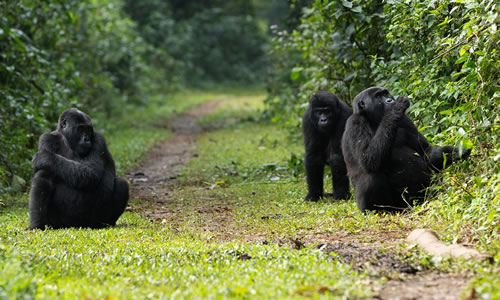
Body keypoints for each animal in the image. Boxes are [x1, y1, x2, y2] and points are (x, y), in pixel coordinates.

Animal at [342, 86, 470, 212]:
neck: (373, 120)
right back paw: (379, 211)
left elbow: (425, 152)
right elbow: (368, 160)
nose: (390, 100)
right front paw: (395, 108)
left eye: (386, 93)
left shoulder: (405, 119)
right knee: (372, 176)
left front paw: (455, 152)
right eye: (378, 96)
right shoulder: (355, 123)